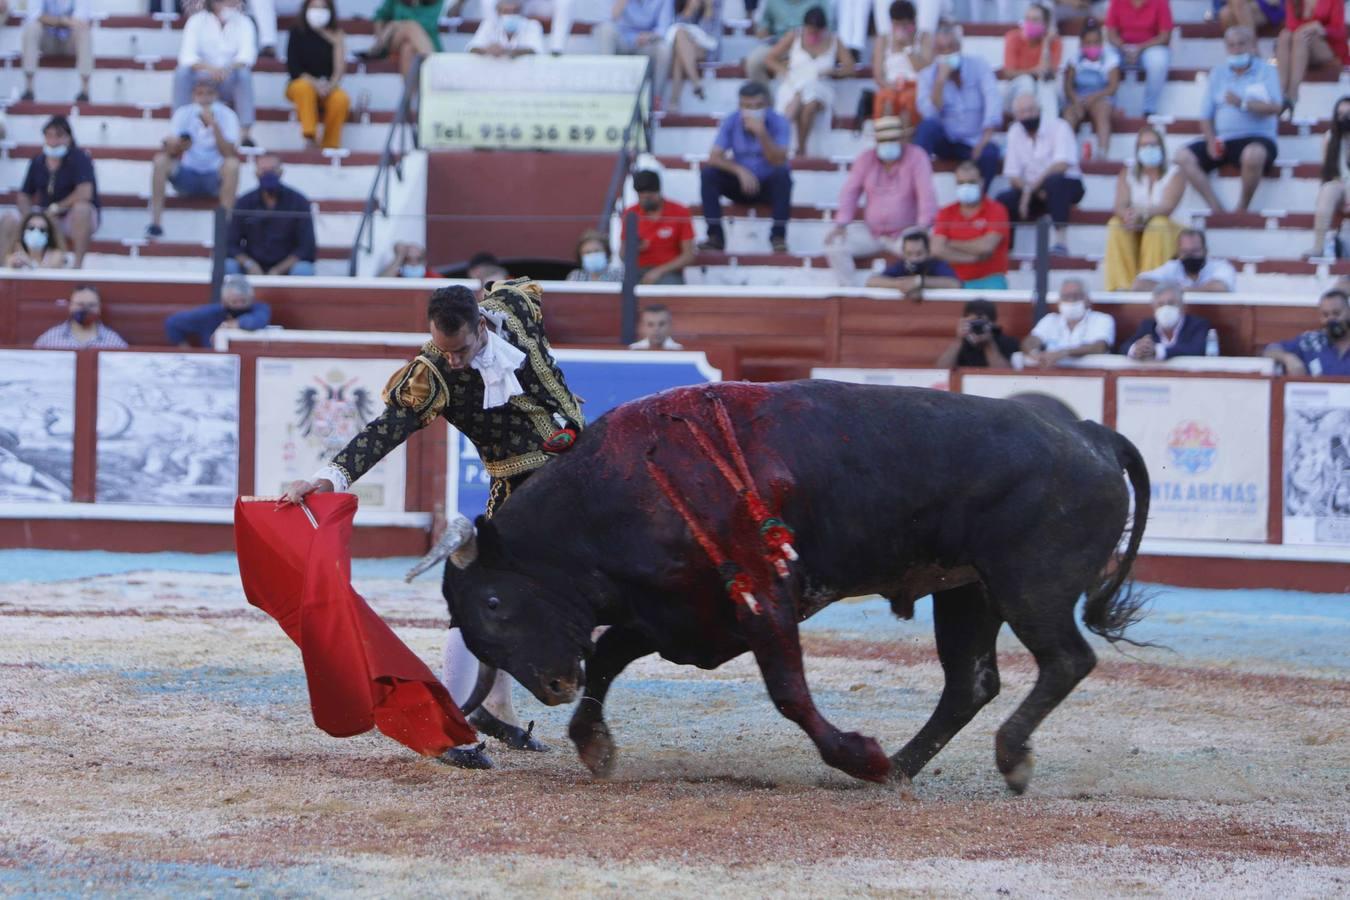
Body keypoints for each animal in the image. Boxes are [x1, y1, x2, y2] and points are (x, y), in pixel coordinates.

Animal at [423, 383, 1150, 793]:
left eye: (494, 602)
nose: (550, 686)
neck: (626, 485)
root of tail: (1090, 435)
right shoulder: (679, 615)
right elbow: (605, 657)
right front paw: (594, 745)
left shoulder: (763, 599)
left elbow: (789, 693)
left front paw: (856, 754)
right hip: (967, 592)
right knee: (970, 683)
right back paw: (903, 768)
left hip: (1031, 586)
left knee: (1065, 659)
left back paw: (1001, 757)